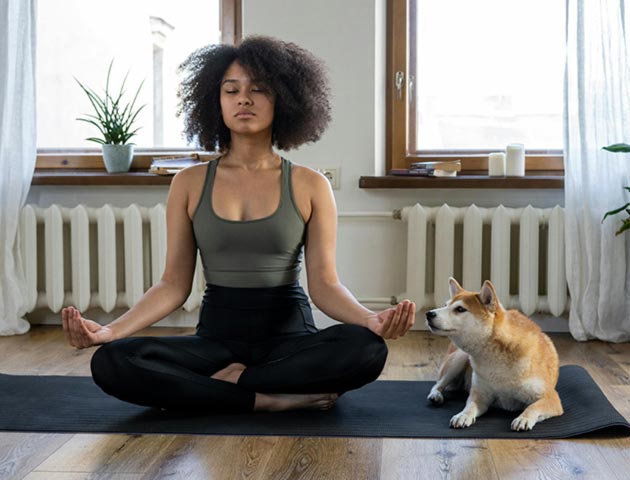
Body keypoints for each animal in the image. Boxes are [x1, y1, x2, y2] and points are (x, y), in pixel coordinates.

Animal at [428, 278, 564, 432]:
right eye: (445, 305)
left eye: (460, 309)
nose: (429, 313)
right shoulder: (480, 395)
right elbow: (469, 407)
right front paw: (462, 415)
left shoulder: (551, 398)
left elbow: (532, 407)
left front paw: (523, 418)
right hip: (458, 359)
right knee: (438, 384)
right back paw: (435, 395)